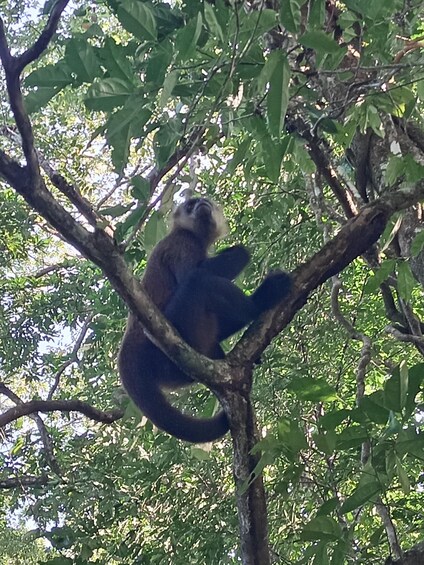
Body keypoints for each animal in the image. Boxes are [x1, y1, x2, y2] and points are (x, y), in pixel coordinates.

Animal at [117, 197, 294, 440]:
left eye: (204, 201)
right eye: (190, 205)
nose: (201, 204)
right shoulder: (183, 243)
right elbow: (194, 272)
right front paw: (240, 252)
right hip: (173, 345)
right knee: (198, 280)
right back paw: (260, 302)